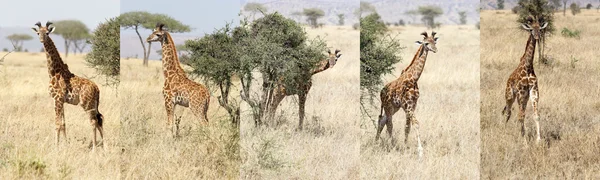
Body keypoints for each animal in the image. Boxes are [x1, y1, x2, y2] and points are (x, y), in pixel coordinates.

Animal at [32, 21, 105, 150]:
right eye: (38, 33)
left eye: (47, 33)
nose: (41, 40)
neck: (54, 72)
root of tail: (97, 89)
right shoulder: (60, 101)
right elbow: (63, 123)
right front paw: (65, 145)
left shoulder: (58, 99)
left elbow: (57, 124)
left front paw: (56, 147)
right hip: (94, 104)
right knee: (100, 119)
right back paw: (106, 146)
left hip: (87, 104)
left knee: (93, 122)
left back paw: (94, 149)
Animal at [502, 16, 548, 144]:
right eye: (531, 29)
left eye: (540, 29)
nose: (537, 37)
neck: (527, 67)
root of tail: (508, 80)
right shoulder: (520, 92)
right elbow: (520, 116)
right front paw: (525, 142)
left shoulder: (533, 90)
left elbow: (536, 115)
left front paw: (538, 140)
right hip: (510, 95)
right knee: (508, 112)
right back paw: (504, 131)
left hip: (524, 98)